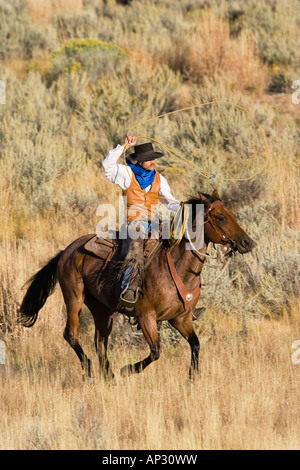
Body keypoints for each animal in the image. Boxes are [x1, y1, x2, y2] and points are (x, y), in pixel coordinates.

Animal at [19, 189, 253, 380]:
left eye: (232, 214)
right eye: (220, 217)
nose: (247, 242)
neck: (177, 267)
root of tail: (66, 251)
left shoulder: (180, 318)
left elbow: (195, 344)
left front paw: (192, 379)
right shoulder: (146, 317)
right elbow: (156, 351)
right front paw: (127, 369)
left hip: (101, 310)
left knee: (100, 342)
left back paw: (109, 376)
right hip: (74, 298)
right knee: (71, 334)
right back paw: (91, 371)